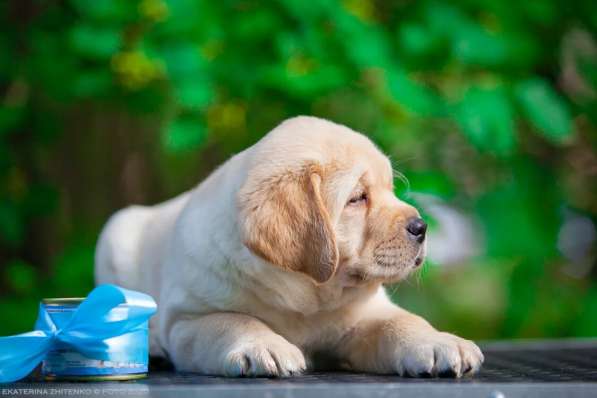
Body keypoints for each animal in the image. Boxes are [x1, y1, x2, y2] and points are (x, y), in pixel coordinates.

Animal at [95, 116, 482, 378]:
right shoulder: (188, 319)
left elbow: (402, 322)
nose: (421, 227)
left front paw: (440, 342)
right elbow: (232, 321)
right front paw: (263, 345)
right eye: (358, 198)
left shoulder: (367, 315)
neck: (307, 297)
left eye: (390, 188)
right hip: (114, 235)